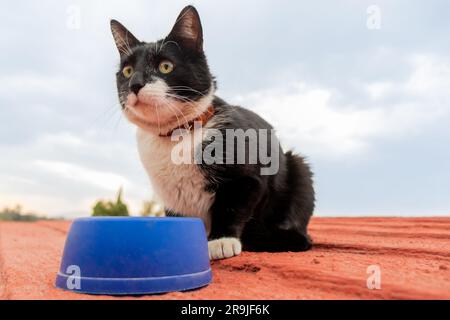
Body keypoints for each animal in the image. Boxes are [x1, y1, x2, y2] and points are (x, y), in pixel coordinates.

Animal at [111, 5, 316, 260]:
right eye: (128, 71)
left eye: (165, 66)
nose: (135, 84)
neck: (177, 134)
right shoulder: (171, 199)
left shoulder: (249, 179)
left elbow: (231, 205)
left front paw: (221, 240)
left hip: (298, 169)